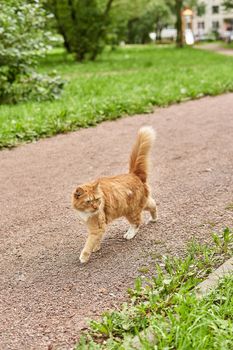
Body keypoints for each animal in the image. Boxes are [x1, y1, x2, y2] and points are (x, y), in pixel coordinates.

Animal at [72, 126, 157, 262]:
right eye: (89, 201)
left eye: (97, 199)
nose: (96, 207)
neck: (86, 212)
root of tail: (133, 174)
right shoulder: (96, 227)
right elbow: (96, 239)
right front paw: (96, 247)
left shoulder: (97, 227)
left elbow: (89, 243)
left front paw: (84, 257)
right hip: (141, 204)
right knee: (153, 205)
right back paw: (154, 218)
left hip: (131, 211)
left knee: (137, 223)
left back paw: (129, 234)